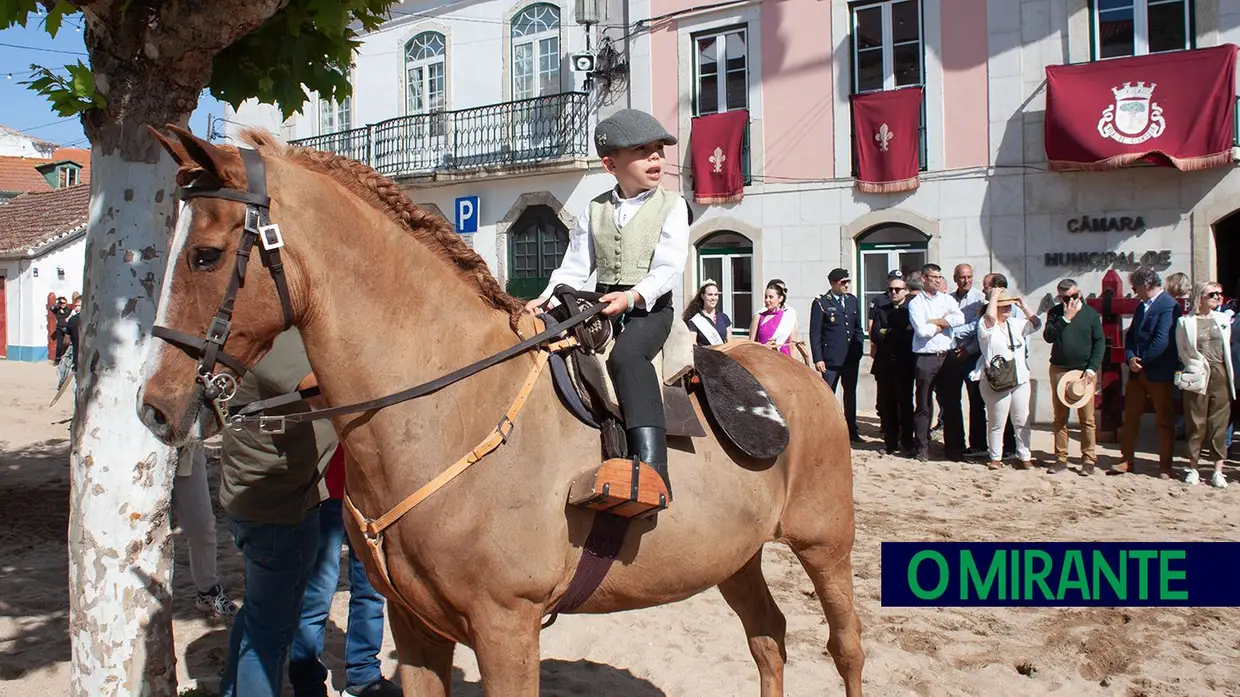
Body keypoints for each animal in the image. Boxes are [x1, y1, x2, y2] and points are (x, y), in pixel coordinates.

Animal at [135, 125, 863, 694]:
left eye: (205, 255)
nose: (155, 408)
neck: (446, 401)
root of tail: (800, 374)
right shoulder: (416, 626)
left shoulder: (506, 624)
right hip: (735, 554)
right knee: (767, 636)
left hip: (825, 543)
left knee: (845, 647)